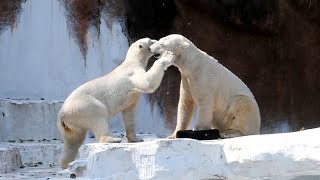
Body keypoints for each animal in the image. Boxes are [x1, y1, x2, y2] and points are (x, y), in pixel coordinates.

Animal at [57, 37, 175, 169]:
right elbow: (147, 83)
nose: (155, 40)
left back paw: (65, 164)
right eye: (150, 40)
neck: (132, 61)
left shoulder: (131, 97)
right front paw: (167, 57)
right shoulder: (133, 74)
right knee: (98, 115)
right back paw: (112, 139)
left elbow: (129, 113)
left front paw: (136, 139)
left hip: (70, 124)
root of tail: (62, 114)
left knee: (72, 142)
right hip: (84, 106)